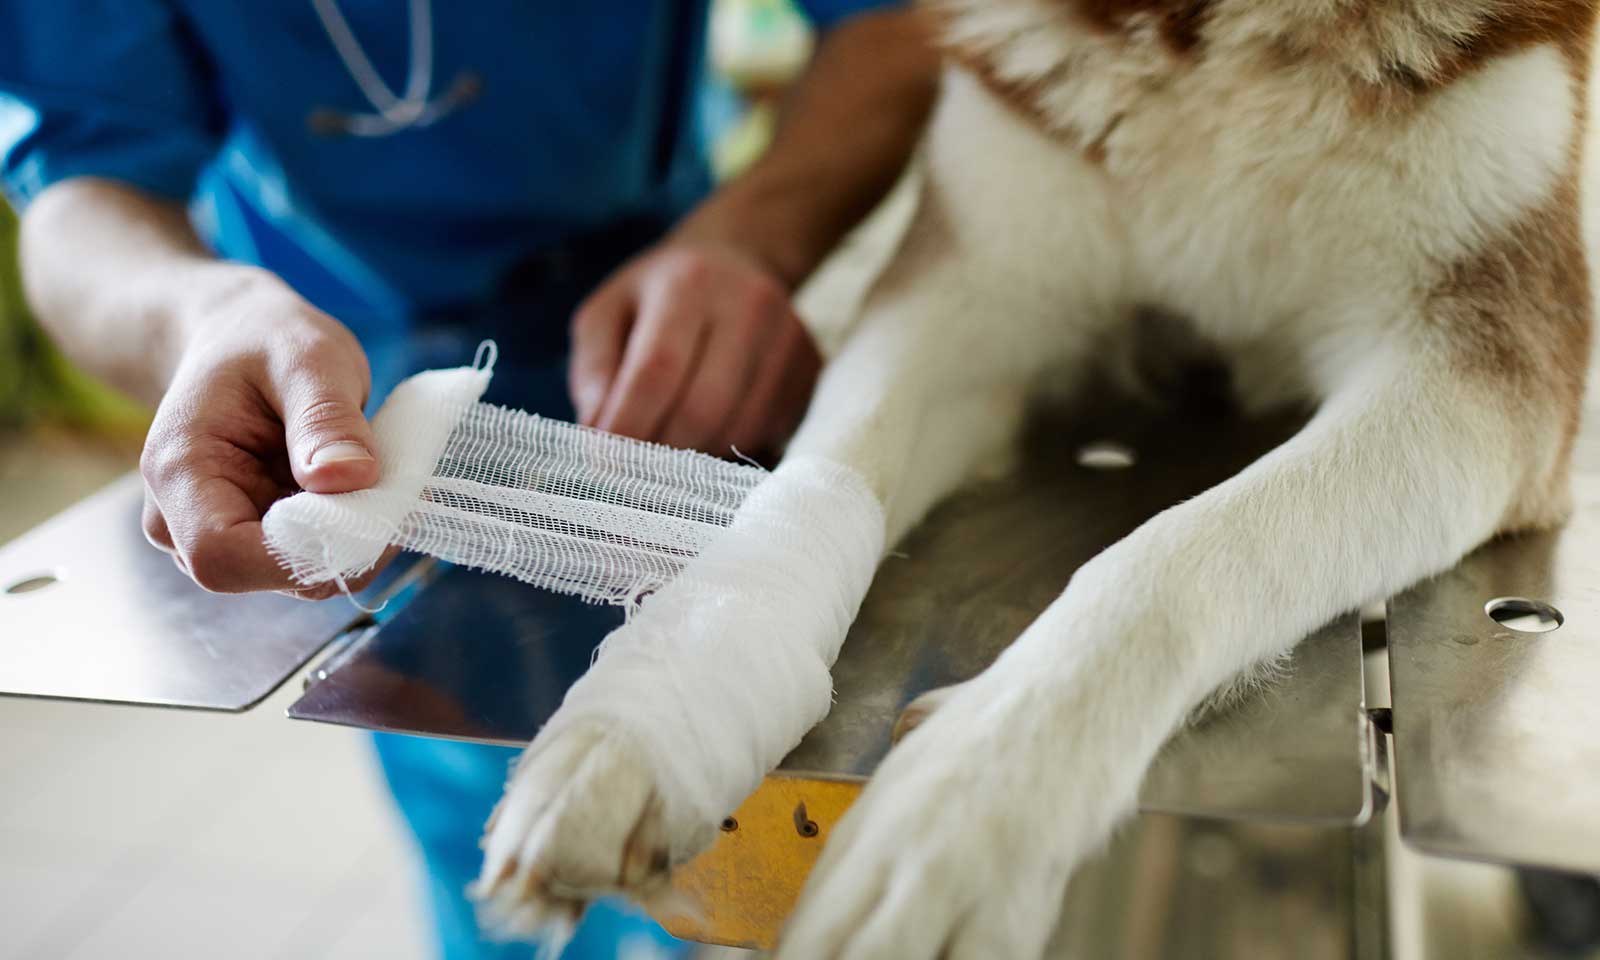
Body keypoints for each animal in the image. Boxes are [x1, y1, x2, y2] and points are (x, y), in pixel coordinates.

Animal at [476, 3, 1600, 953]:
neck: (1205, 31)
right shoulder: (969, 284)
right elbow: (814, 482)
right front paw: (643, 723)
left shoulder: (1483, 362)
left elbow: (1177, 554)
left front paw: (962, 810)